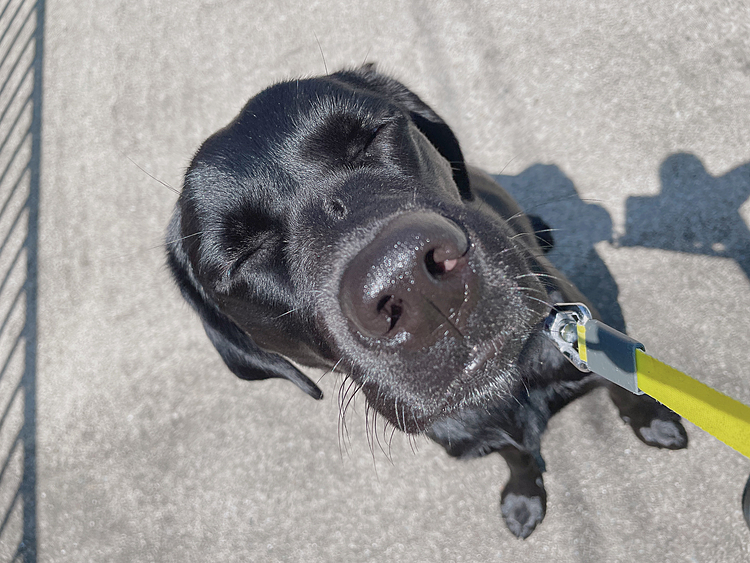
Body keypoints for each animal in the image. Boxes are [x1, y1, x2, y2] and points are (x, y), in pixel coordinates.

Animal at [167, 64, 692, 540]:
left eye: (371, 134)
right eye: (242, 254)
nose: (410, 281)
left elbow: (625, 388)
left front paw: (652, 420)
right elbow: (516, 454)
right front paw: (523, 496)